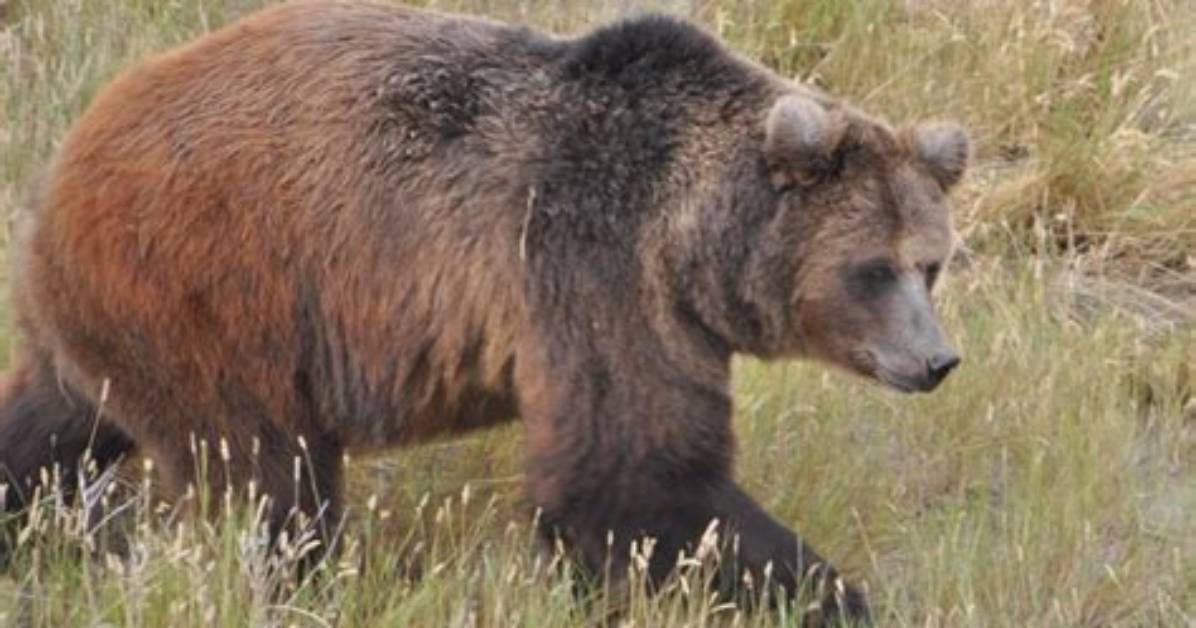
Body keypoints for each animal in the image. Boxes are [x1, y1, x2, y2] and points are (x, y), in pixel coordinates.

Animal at [0, 1, 967, 623]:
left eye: (932, 263)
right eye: (873, 269)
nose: (937, 361)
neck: (691, 241)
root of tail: (75, 148)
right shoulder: (590, 268)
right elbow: (631, 471)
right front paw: (833, 593)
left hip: (112, 323)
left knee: (49, 428)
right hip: (214, 289)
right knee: (270, 478)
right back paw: (303, 586)